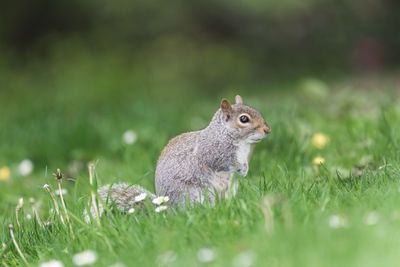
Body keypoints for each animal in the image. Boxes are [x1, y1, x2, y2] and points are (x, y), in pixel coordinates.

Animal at [92, 96, 270, 218]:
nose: (267, 130)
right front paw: (241, 169)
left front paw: (245, 169)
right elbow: (224, 162)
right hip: (193, 195)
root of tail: (168, 209)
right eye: (244, 119)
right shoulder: (212, 152)